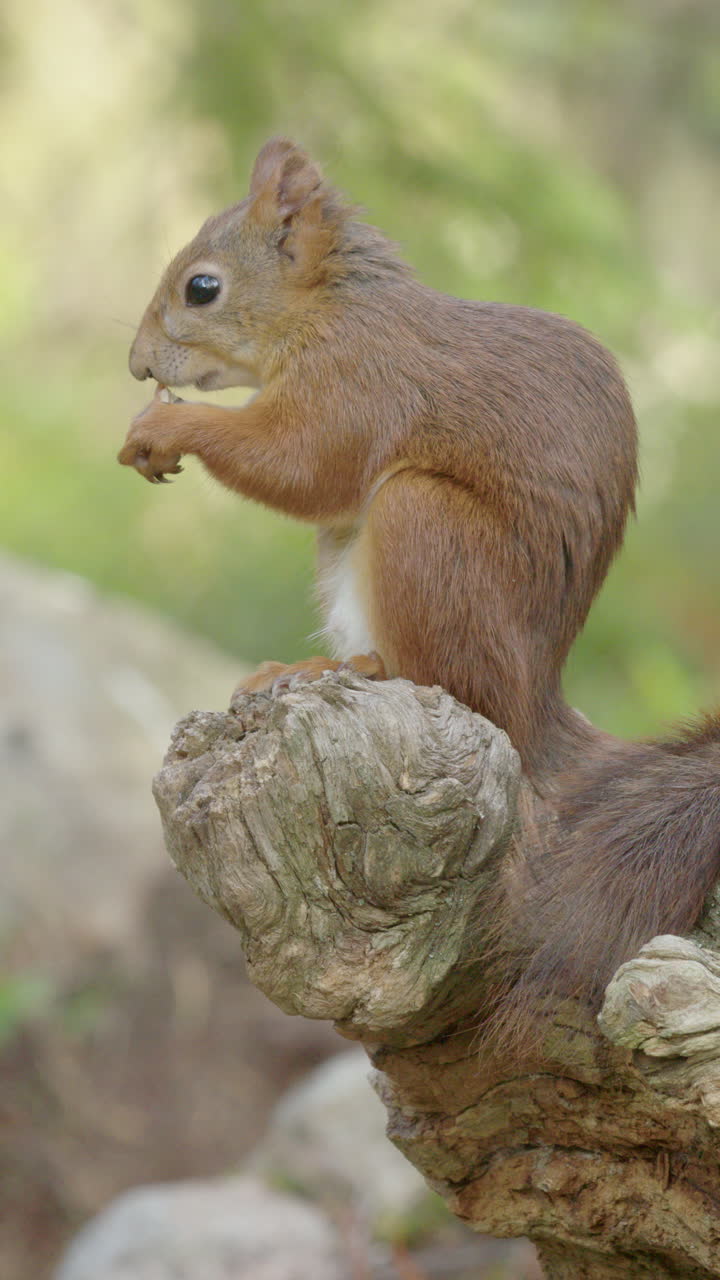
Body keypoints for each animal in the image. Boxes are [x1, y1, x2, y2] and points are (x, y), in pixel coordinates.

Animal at [119, 137, 720, 1036]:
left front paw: (166, 425)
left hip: (424, 523)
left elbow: (303, 463)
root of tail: (537, 709)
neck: (329, 310)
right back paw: (305, 669)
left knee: (454, 681)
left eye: (202, 287)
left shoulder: (359, 382)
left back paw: (366, 669)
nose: (136, 366)